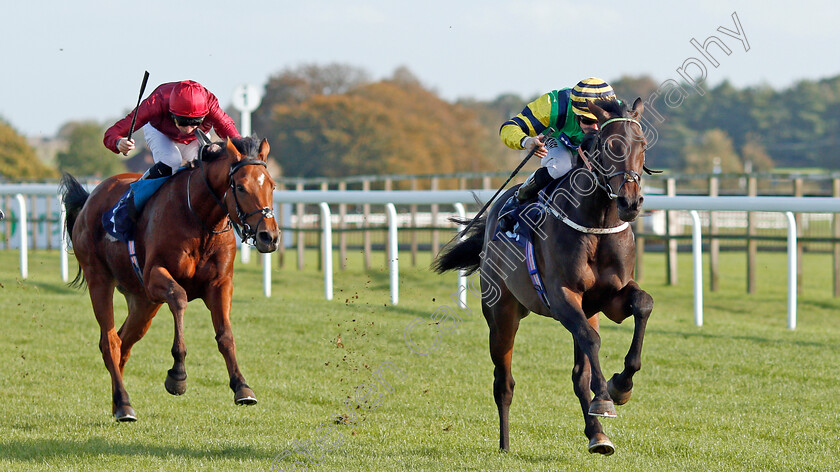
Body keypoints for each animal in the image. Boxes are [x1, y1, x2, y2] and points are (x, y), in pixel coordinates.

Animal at [60, 136, 282, 420]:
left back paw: (117, 402)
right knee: (110, 341)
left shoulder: (221, 284)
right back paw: (123, 404)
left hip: (143, 302)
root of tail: (90, 198)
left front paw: (241, 386)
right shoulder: (155, 276)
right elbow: (179, 298)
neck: (200, 218)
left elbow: (225, 335)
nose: (269, 236)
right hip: (100, 279)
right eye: (241, 187)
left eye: (272, 185)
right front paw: (177, 375)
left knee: (123, 342)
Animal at [436, 97, 652, 456]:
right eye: (610, 145)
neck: (596, 223)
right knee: (504, 382)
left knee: (579, 375)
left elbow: (642, 304)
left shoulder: (610, 298)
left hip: (585, 312)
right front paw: (607, 398)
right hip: (502, 314)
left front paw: (621, 386)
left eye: (643, 145)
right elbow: (593, 340)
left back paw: (598, 435)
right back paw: (505, 445)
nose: (630, 201)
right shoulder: (562, 296)